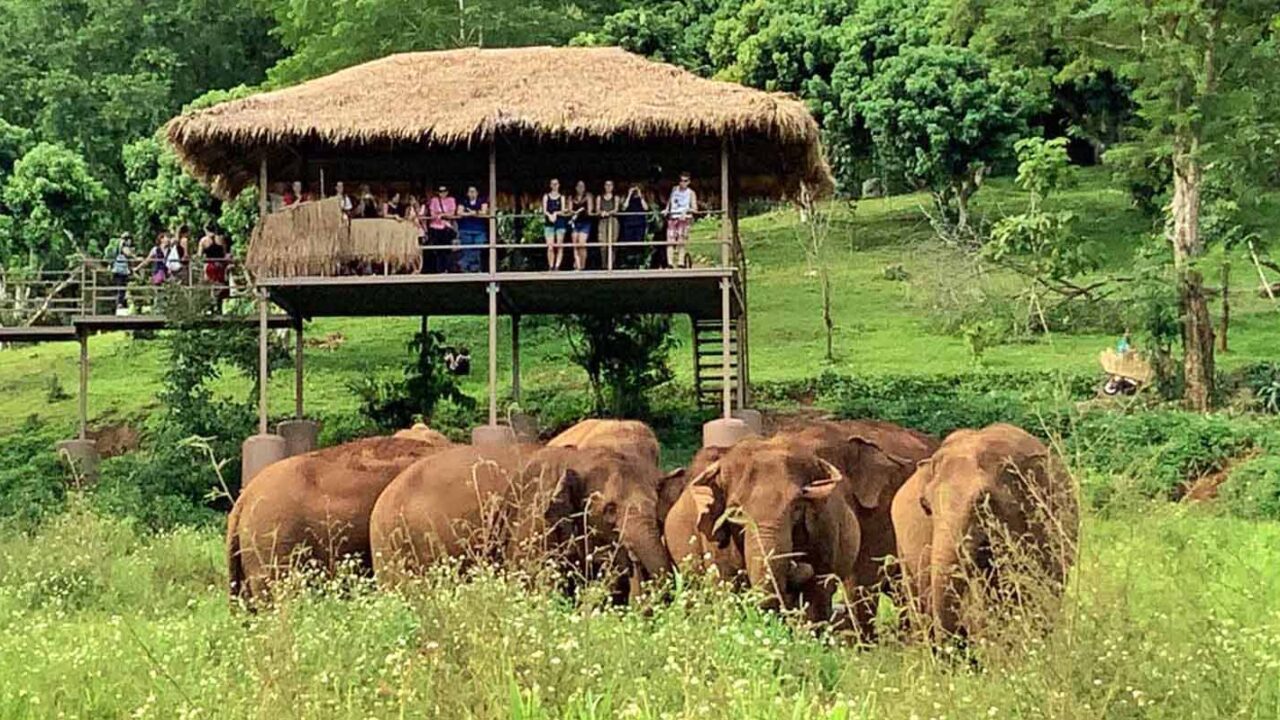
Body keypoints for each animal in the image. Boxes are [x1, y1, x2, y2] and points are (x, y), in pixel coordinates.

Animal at [369, 442, 672, 599]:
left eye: (656, 505)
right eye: (609, 509)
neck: (578, 457)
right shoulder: (530, 520)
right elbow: (535, 584)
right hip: (392, 547)